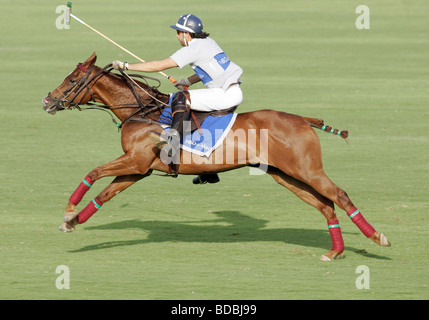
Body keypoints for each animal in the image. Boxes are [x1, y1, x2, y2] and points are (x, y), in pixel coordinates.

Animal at [42, 53, 388, 262]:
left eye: (71, 80)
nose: (47, 101)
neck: (142, 111)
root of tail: (303, 119)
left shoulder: (135, 161)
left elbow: (93, 172)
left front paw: (69, 211)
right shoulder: (139, 168)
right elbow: (104, 194)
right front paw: (72, 222)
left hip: (306, 169)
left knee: (340, 196)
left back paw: (377, 238)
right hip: (286, 175)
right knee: (325, 205)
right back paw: (334, 251)